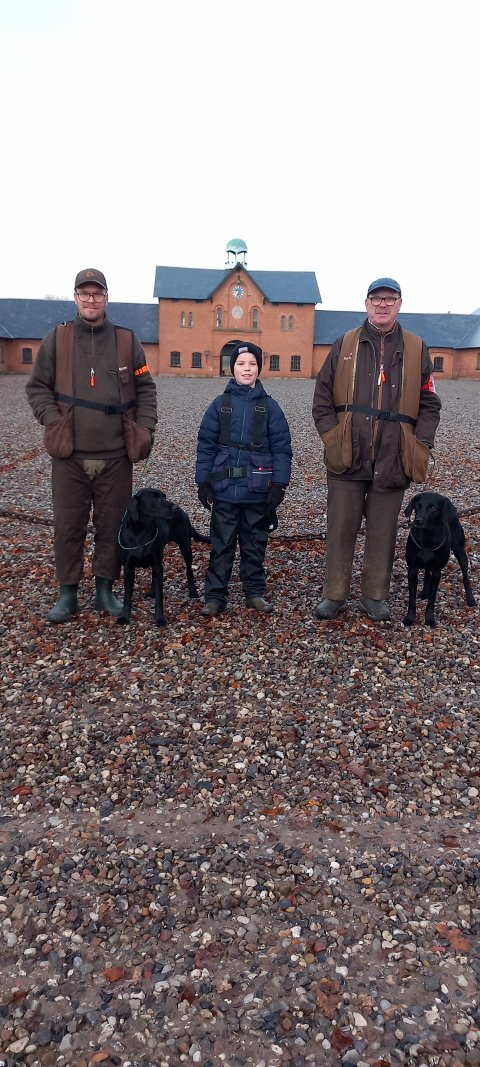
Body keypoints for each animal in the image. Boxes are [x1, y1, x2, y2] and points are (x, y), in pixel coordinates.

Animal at [117, 489, 210, 626]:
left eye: (164, 497)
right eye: (156, 499)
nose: (176, 508)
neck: (141, 531)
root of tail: (183, 512)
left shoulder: (158, 565)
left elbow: (159, 598)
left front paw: (160, 618)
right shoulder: (128, 568)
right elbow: (127, 596)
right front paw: (124, 617)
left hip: (185, 546)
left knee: (189, 570)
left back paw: (192, 591)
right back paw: (151, 592)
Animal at [403, 491, 476, 627]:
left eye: (433, 508)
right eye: (417, 506)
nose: (417, 521)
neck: (427, 538)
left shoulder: (437, 572)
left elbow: (432, 599)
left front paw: (429, 619)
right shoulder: (412, 569)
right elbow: (412, 598)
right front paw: (410, 618)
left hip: (460, 552)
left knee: (465, 575)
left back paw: (470, 599)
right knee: (427, 573)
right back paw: (424, 592)